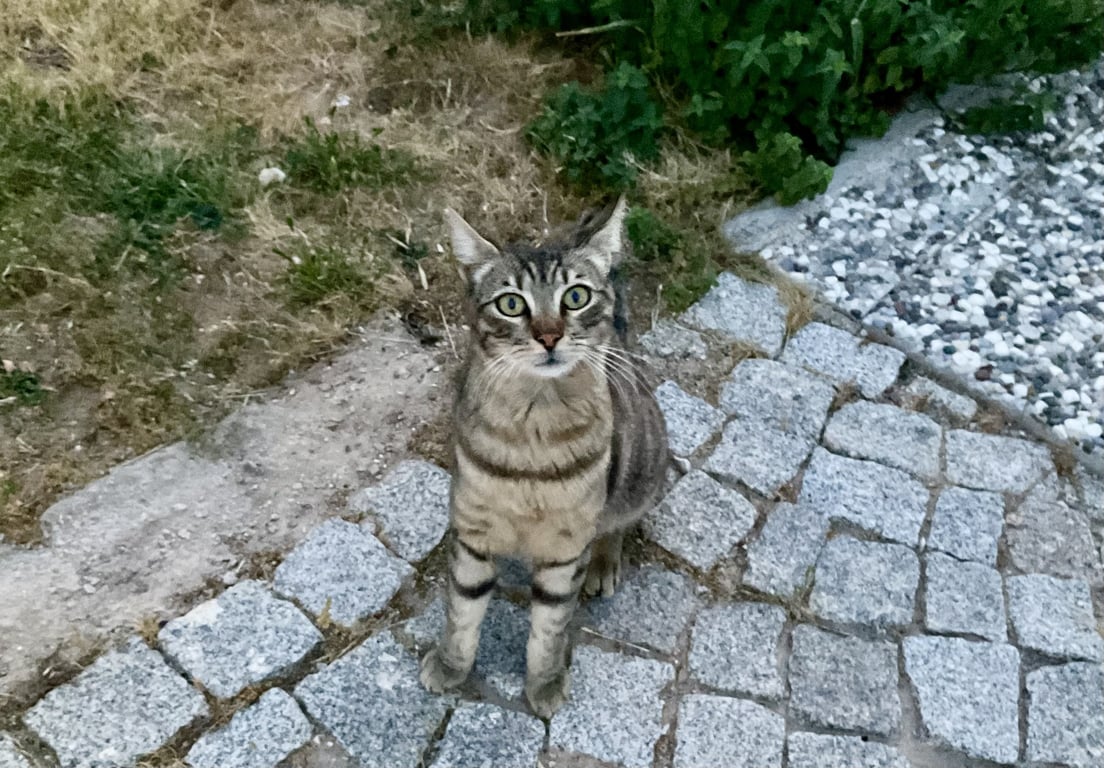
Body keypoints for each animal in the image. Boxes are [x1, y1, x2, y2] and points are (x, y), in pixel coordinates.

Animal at [419, 196, 670, 717]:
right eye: (511, 304)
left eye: (575, 297)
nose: (549, 336)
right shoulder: (471, 534)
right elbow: (461, 613)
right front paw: (452, 666)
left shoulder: (564, 549)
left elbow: (550, 628)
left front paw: (545, 682)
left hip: (641, 473)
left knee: (618, 522)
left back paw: (605, 562)